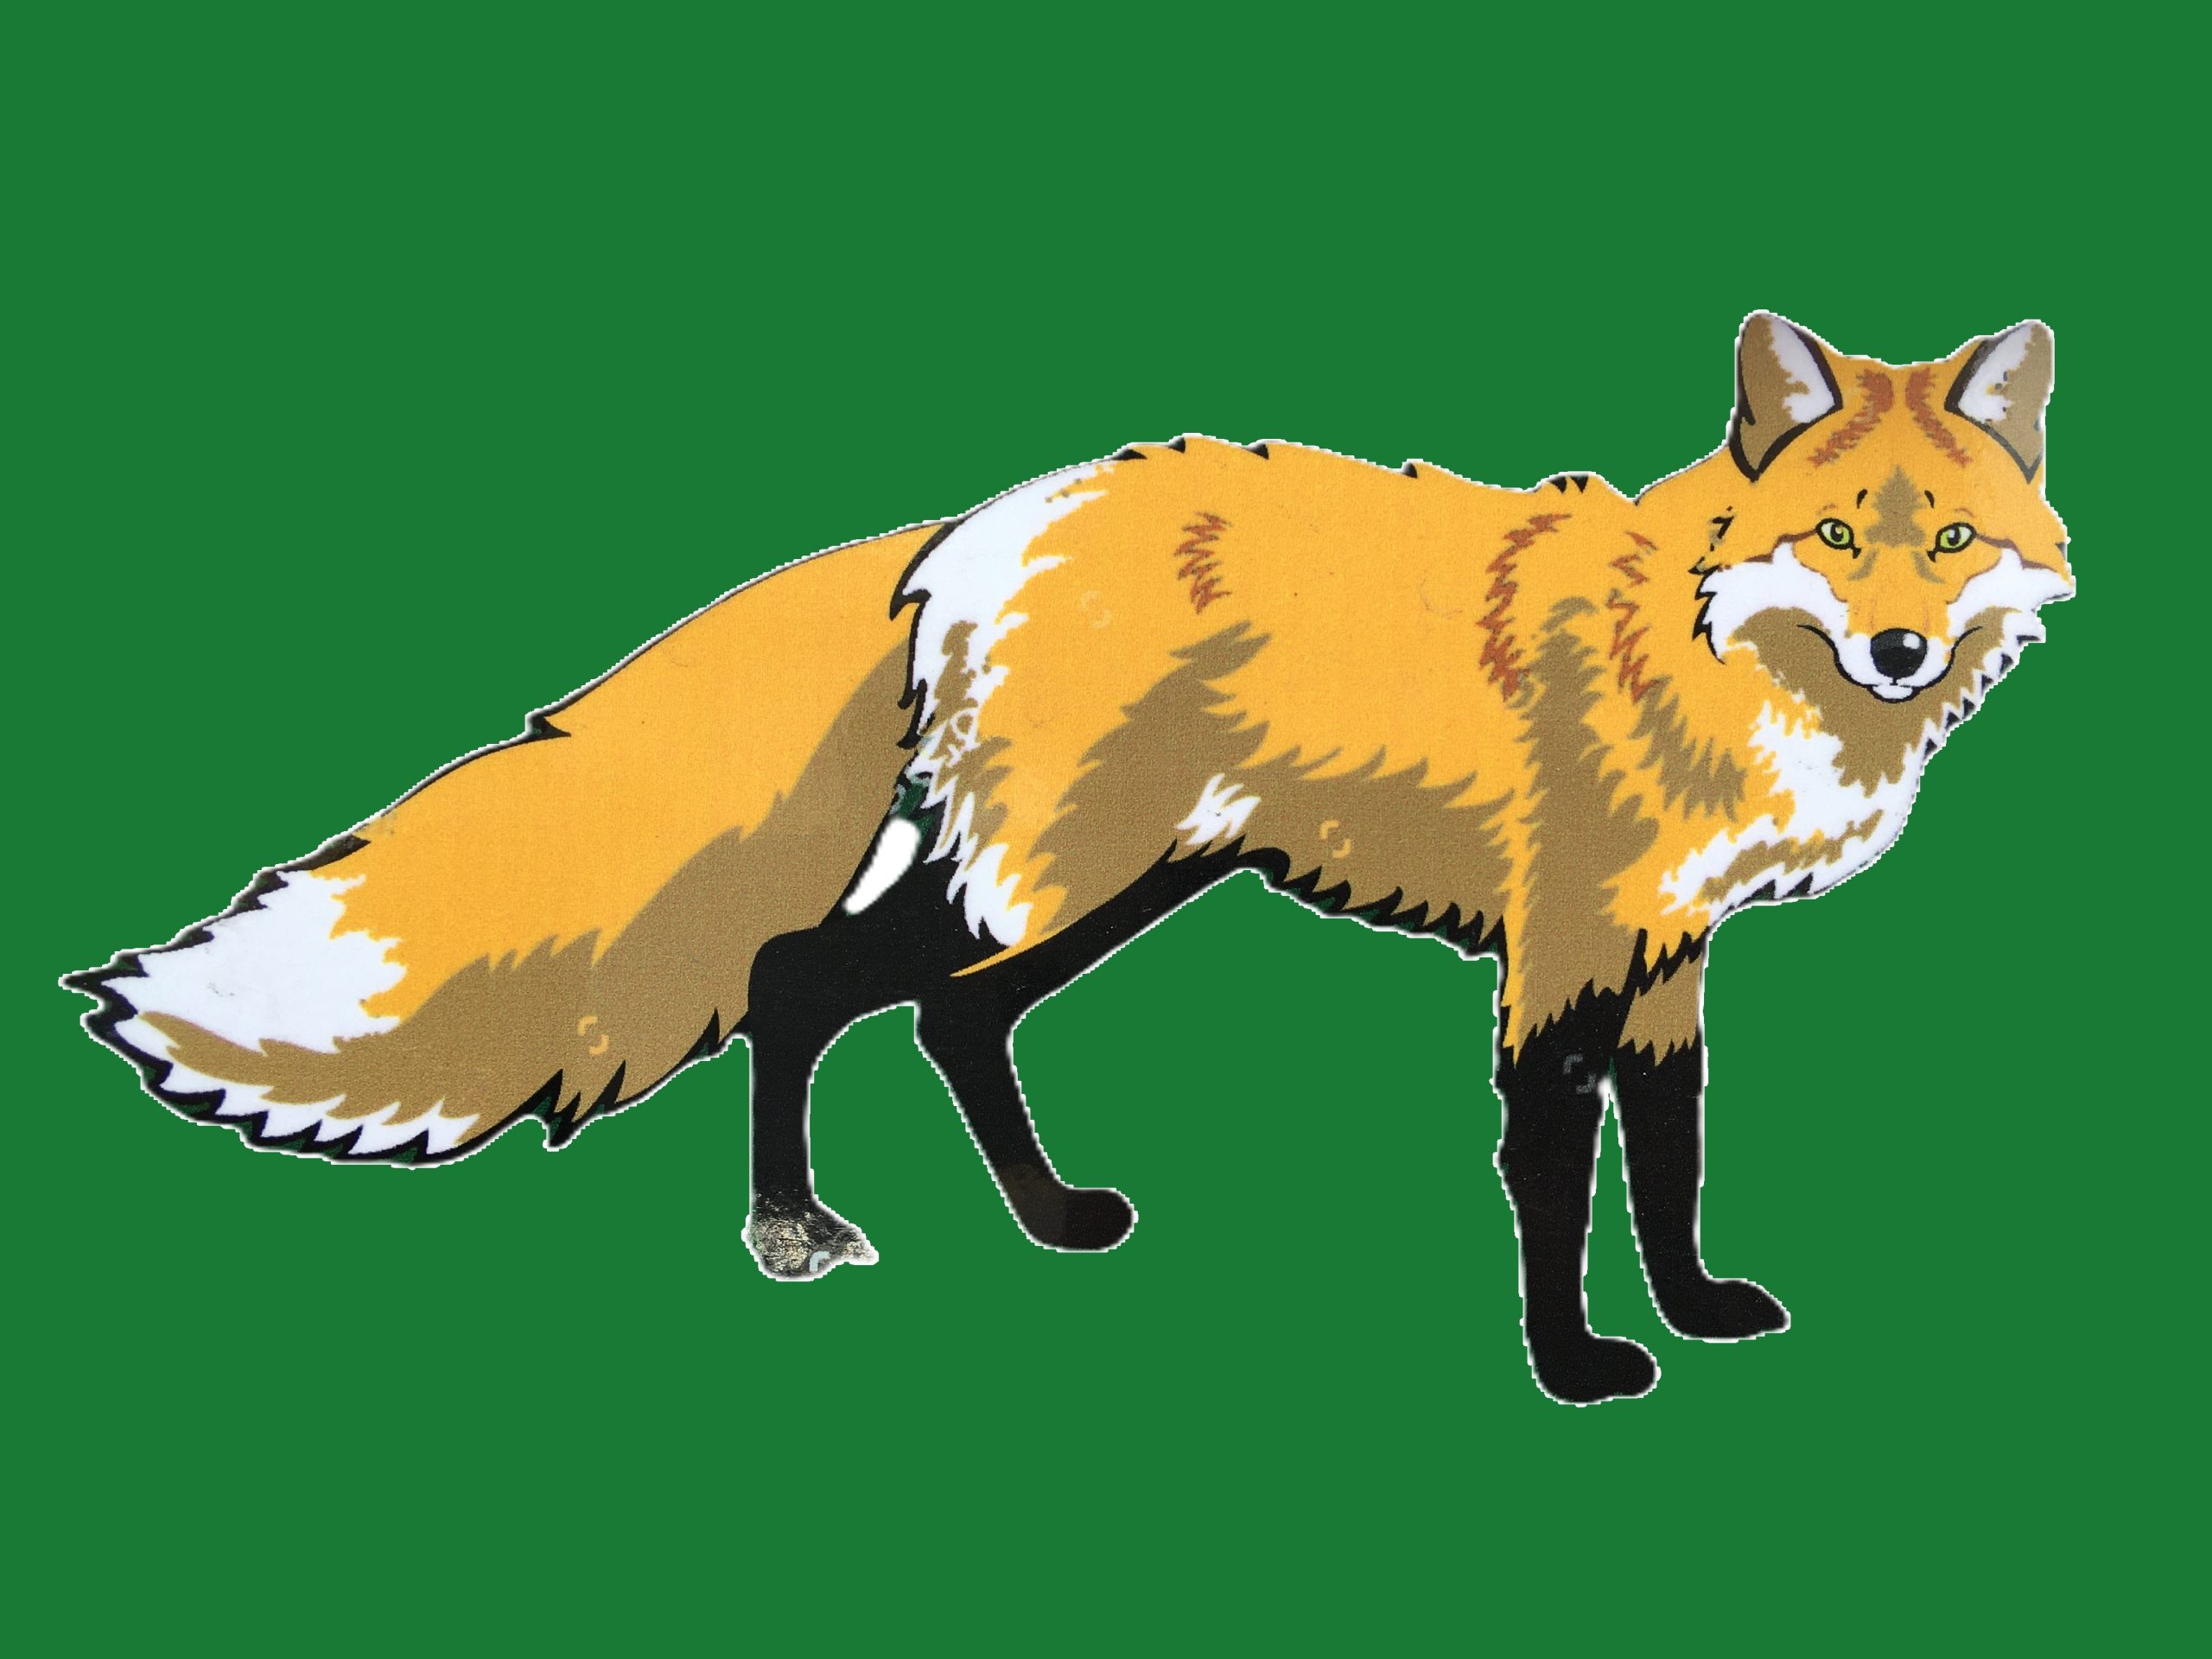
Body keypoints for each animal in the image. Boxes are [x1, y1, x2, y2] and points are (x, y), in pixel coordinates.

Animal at [68, 312, 2068, 1403]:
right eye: (1835, 538)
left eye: (1951, 541)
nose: (1901, 653)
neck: (1706, 647)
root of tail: (986, 514)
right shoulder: (1563, 947)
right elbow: (1553, 1180)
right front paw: (1573, 1368)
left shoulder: (1663, 953)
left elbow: (1669, 1160)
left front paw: (1697, 1312)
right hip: (1053, 873)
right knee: (798, 980)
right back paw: (788, 1228)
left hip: (1110, 882)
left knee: (947, 1019)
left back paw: (1042, 1218)